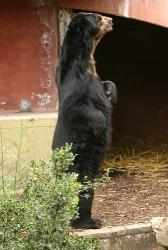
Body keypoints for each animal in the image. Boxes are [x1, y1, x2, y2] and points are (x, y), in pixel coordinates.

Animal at [52, 12, 117, 229]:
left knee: (87, 190)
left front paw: (110, 89)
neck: (85, 58)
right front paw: (100, 127)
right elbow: (74, 107)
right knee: (79, 189)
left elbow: (107, 86)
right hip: (76, 160)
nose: (112, 20)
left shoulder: (95, 76)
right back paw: (86, 222)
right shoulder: (74, 79)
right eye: (98, 17)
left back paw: (90, 219)